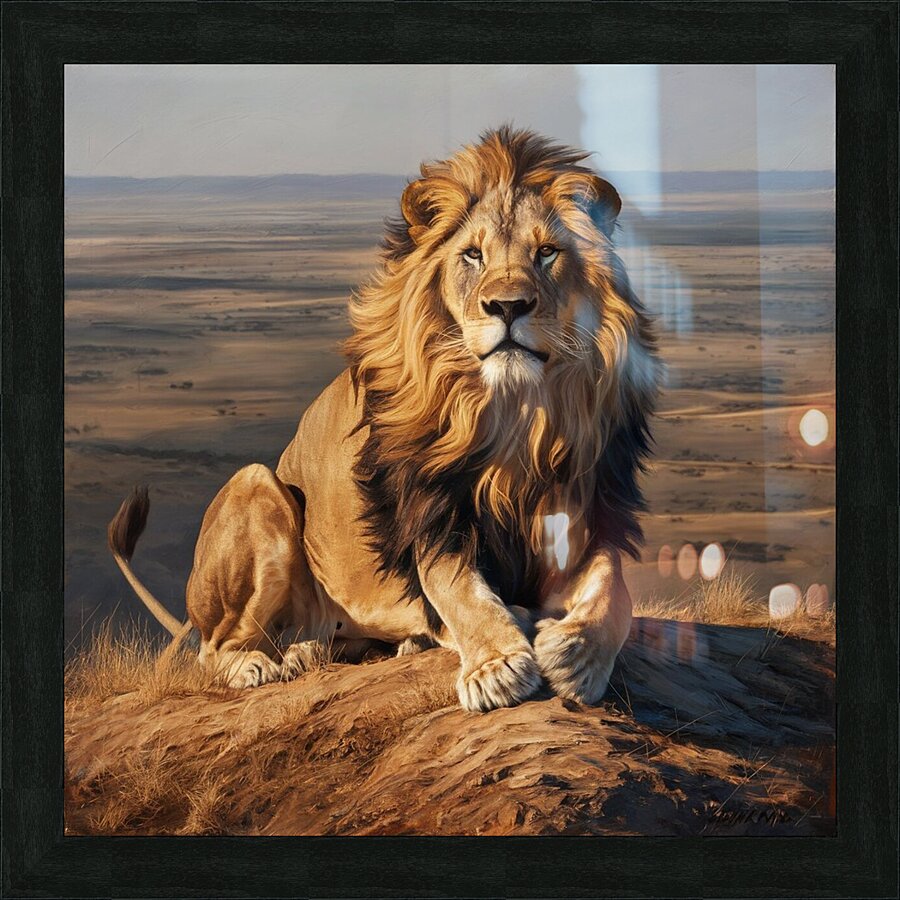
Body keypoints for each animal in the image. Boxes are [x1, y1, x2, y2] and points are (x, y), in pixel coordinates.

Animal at [109, 126, 660, 711]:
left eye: (547, 252)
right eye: (472, 255)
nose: (507, 306)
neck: (515, 412)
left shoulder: (585, 512)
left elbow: (615, 589)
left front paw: (578, 656)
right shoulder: (432, 517)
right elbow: (458, 589)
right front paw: (497, 665)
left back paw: (335, 650)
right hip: (256, 485)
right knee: (215, 648)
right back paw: (260, 665)